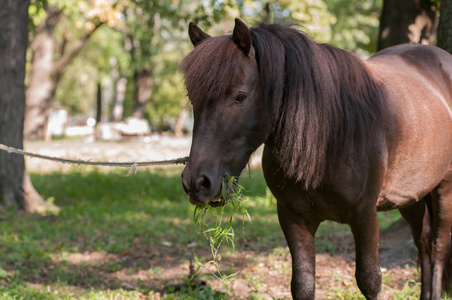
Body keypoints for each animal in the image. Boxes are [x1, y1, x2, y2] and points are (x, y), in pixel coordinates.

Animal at [178, 19, 452, 300]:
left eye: (240, 96)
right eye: (193, 99)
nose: (196, 182)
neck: (330, 137)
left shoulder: (365, 215)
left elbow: (370, 280)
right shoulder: (294, 218)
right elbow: (303, 284)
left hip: (444, 188)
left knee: (438, 246)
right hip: (411, 196)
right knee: (423, 242)